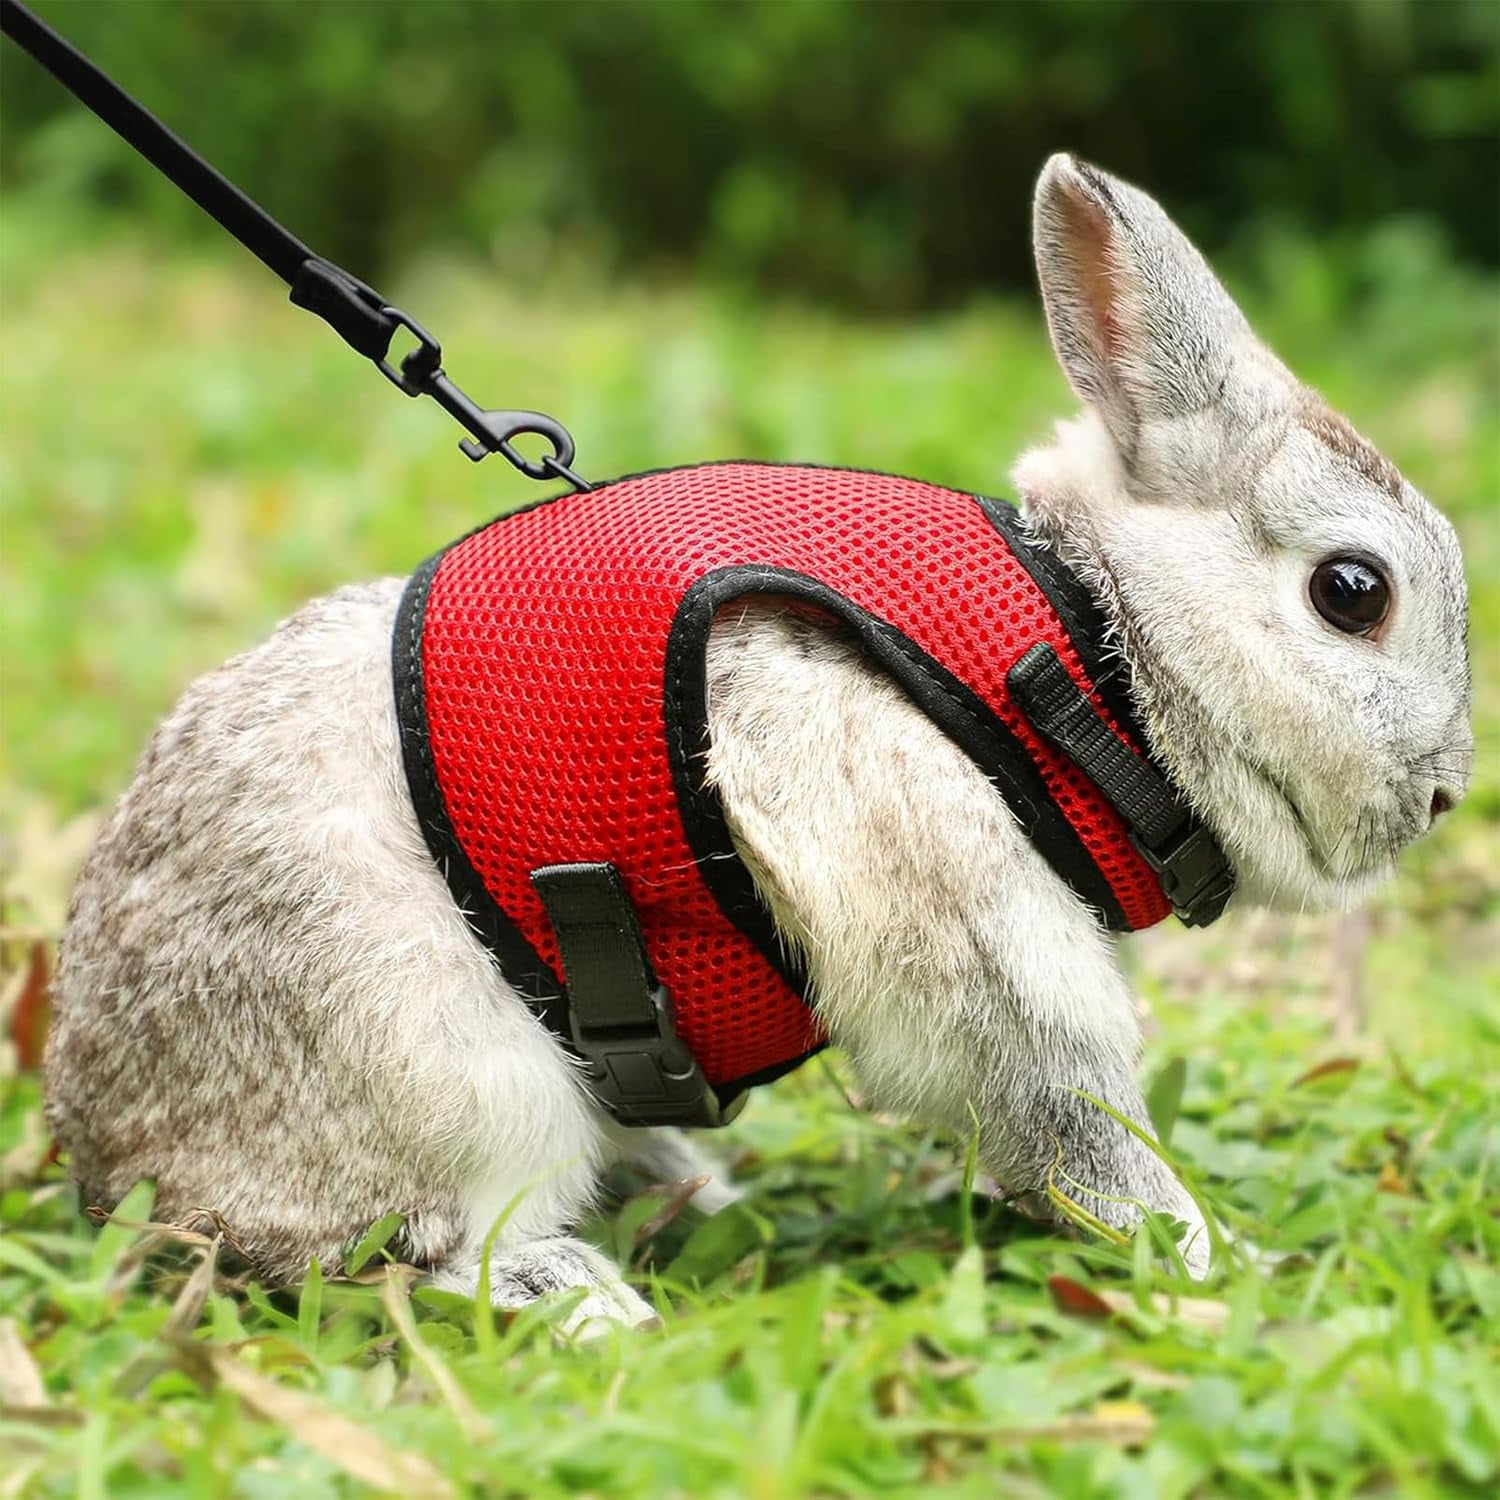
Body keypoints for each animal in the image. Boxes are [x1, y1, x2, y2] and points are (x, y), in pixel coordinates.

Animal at [45, 155, 1472, 1328]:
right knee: (401, 1252)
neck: (1085, 653)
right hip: (449, 1071)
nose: (1449, 793)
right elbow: (1070, 1113)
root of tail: (100, 1143)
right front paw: (1213, 1262)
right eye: (1354, 593)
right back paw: (581, 1296)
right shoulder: (971, 920)